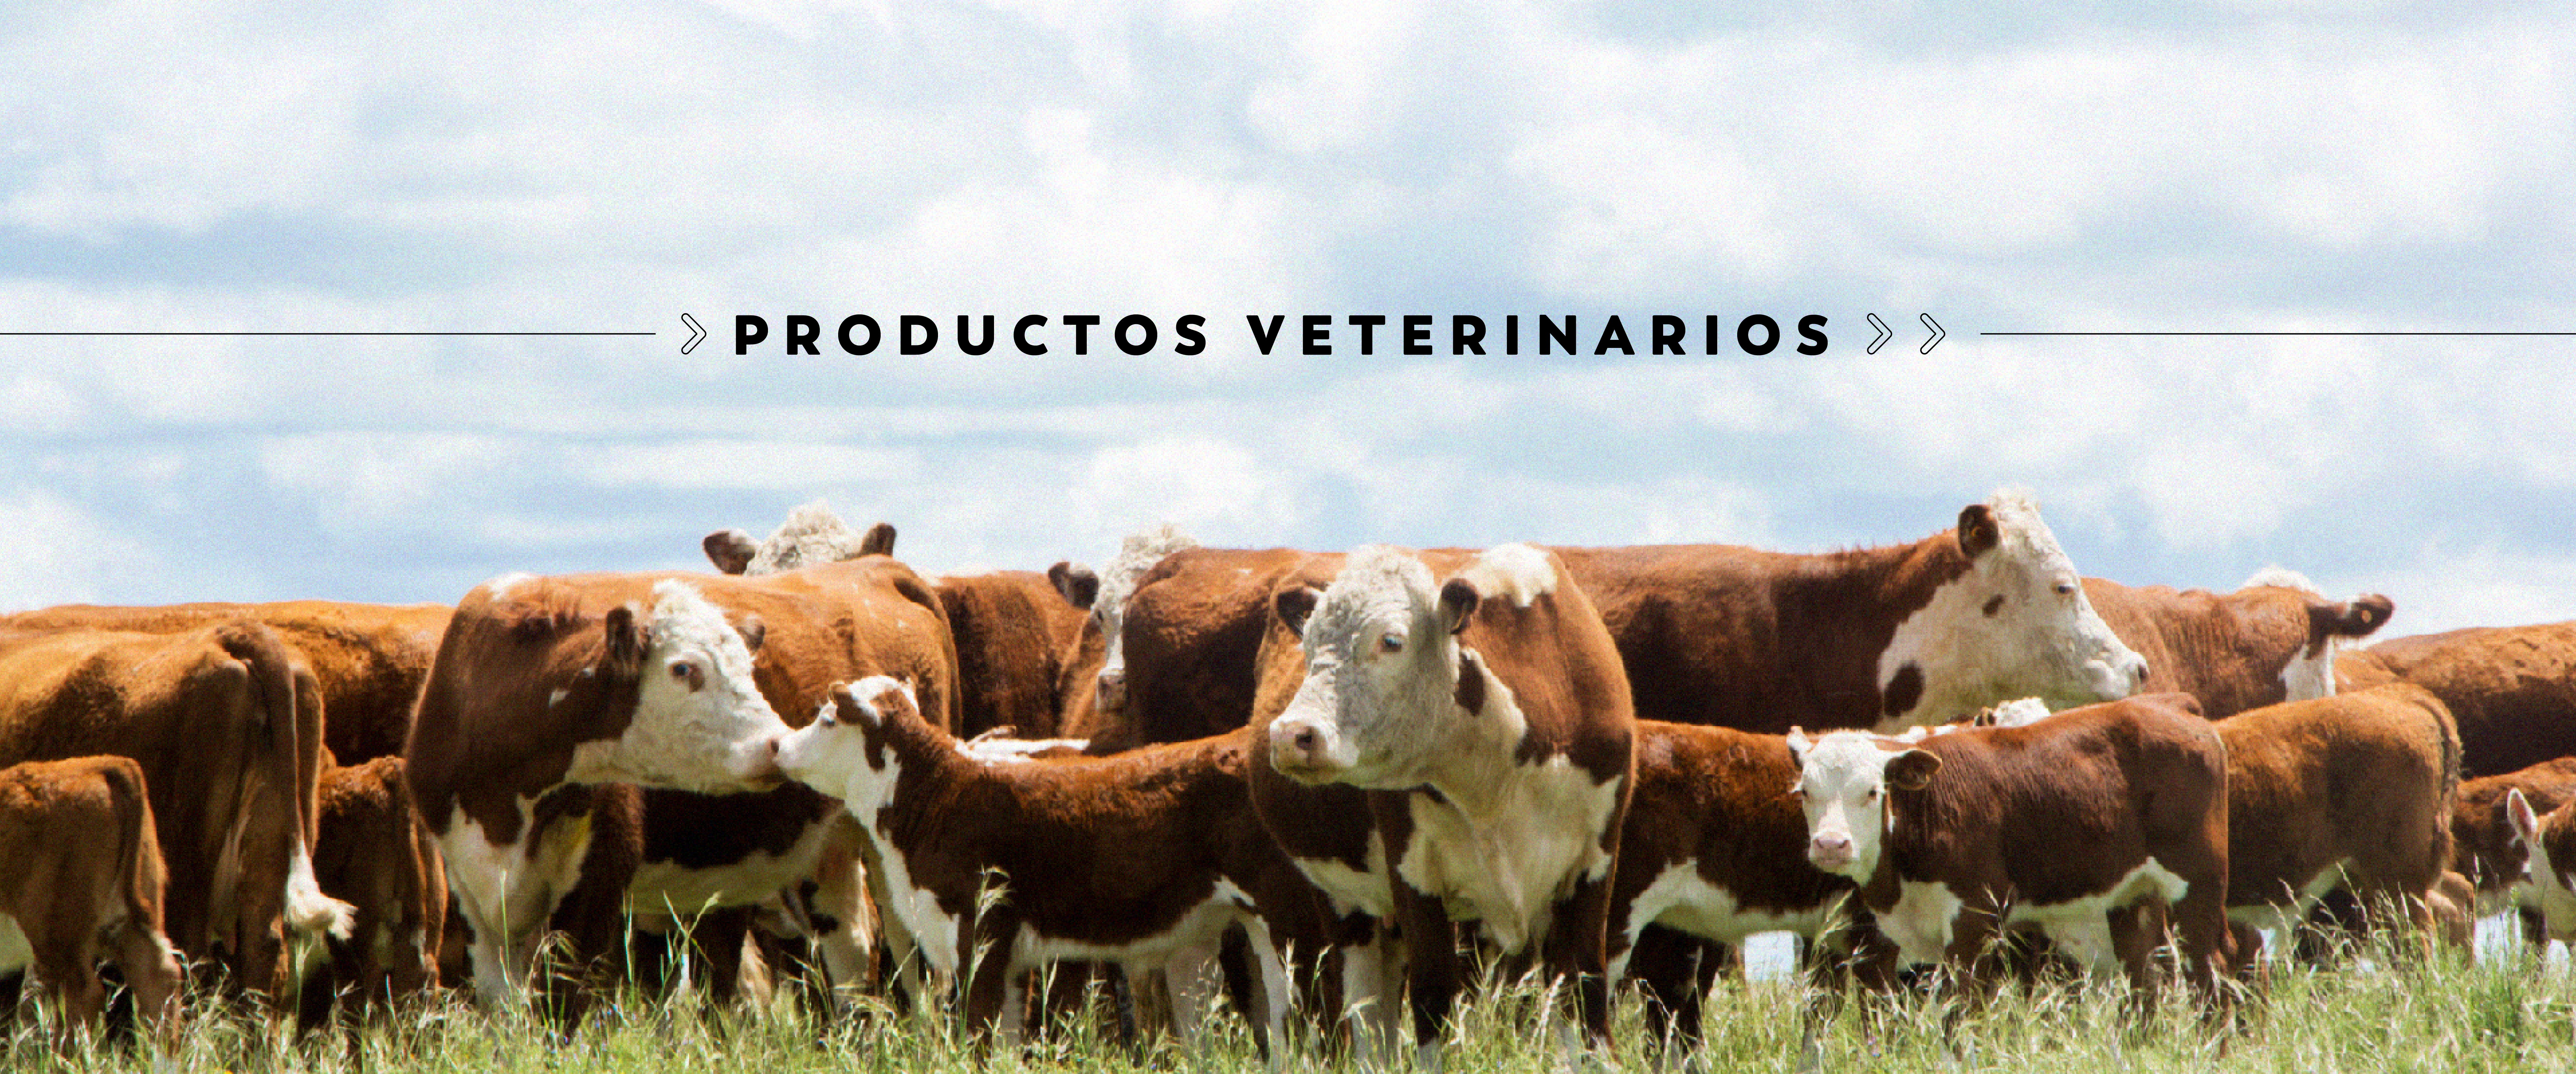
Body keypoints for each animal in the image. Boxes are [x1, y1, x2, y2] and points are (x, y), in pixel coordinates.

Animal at [406, 561, 958, 1023]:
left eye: (748, 668)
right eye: (684, 668)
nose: (777, 743)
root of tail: (876, 567)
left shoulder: (597, 879)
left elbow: (561, 1009)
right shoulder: (475, 902)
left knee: (919, 960)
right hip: (831, 850)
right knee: (853, 953)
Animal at [766, 677, 1328, 1056]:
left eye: (827, 719)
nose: (778, 746)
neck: (938, 796)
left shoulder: (980, 936)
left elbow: (976, 1036)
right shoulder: (1002, 956)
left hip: (1291, 917)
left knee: (1305, 1018)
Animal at [1258, 544, 1635, 1069]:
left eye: (1391, 641)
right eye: (1308, 644)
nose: (1292, 734)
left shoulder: (1595, 861)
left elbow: (1584, 992)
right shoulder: (1413, 873)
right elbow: (1433, 993)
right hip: (1344, 906)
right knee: (1365, 1012)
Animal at [1784, 694, 2230, 1008]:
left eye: (1873, 791)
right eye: (1805, 791)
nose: (1830, 844)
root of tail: (2175, 707)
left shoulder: (1974, 920)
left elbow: (1962, 1014)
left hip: (2198, 883)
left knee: (2207, 971)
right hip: (2131, 898)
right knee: (2144, 978)